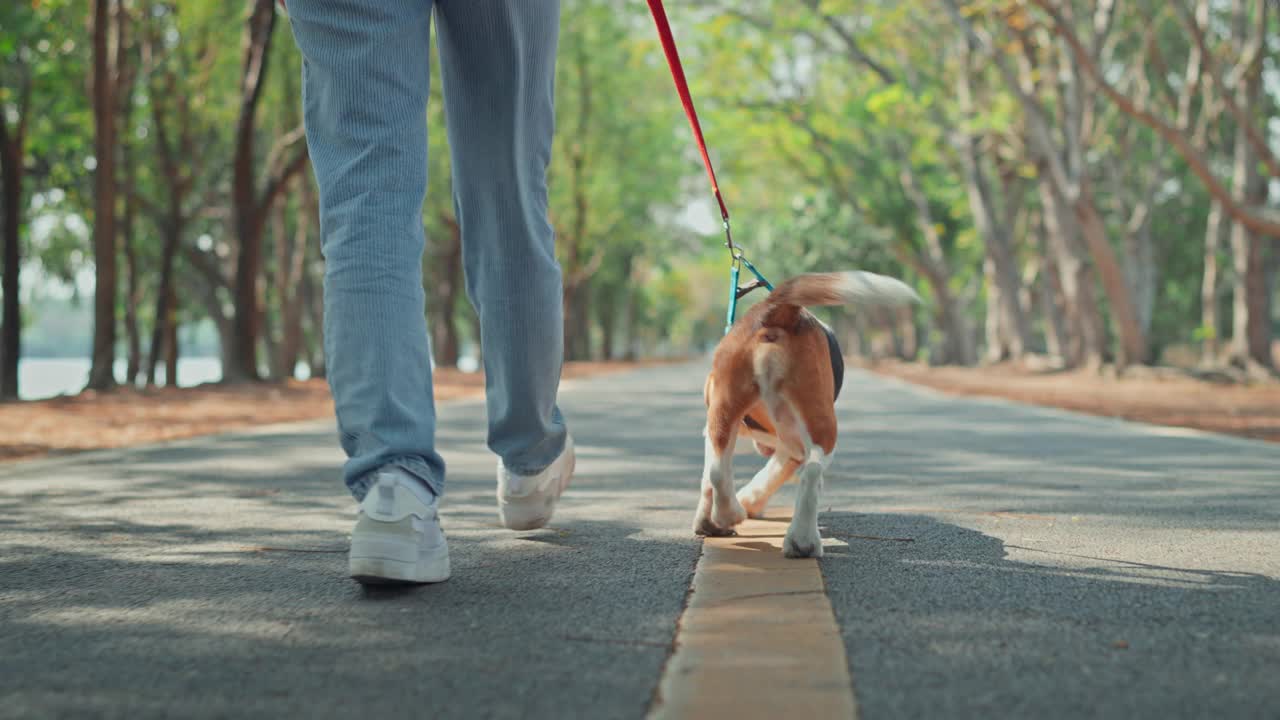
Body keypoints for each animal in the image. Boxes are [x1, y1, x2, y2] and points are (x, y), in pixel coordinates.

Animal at [691, 269, 921, 556]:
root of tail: (778, 312)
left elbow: (709, 479)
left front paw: (710, 522)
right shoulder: (789, 448)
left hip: (725, 411)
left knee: (719, 470)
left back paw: (735, 516)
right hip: (811, 422)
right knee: (810, 472)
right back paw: (800, 539)